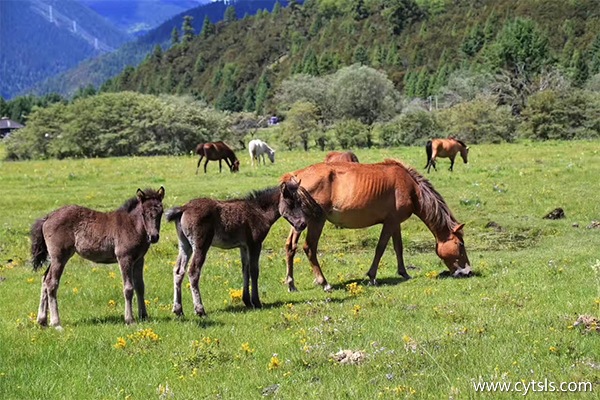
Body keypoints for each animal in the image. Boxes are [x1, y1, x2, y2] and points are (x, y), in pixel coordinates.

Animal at [30, 188, 165, 328]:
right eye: (143, 213)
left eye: (161, 212)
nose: (154, 236)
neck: (132, 225)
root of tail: (48, 217)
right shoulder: (124, 258)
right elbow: (128, 288)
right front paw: (130, 320)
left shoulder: (139, 259)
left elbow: (140, 286)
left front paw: (144, 316)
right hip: (59, 257)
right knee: (51, 282)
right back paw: (56, 323)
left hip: (54, 258)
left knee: (45, 279)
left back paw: (42, 320)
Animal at [164, 183, 322, 318]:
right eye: (290, 204)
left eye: (300, 203)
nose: (302, 224)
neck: (259, 212)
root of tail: (183, 209)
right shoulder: (255, 244)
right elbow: (254, 270)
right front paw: (256, 302)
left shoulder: (243, 246)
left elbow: (245, 269)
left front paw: (247, 301)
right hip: (200, 245)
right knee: (193, 272)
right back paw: (200, 310)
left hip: (185, 245)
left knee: (178, 271)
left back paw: (178, 310)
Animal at [282, 158, 474, 292]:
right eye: (460, 244)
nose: (468, 272)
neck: (411, 188)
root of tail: (296, 177)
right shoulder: (389, 223)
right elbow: (381, 248)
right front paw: (372, 276)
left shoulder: (395, 223)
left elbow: (398, 247)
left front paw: (404, 273)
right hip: (316, 221)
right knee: (309, 248)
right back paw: (324, 283)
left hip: (299, 223)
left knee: (291, 247)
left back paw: (291, 284)